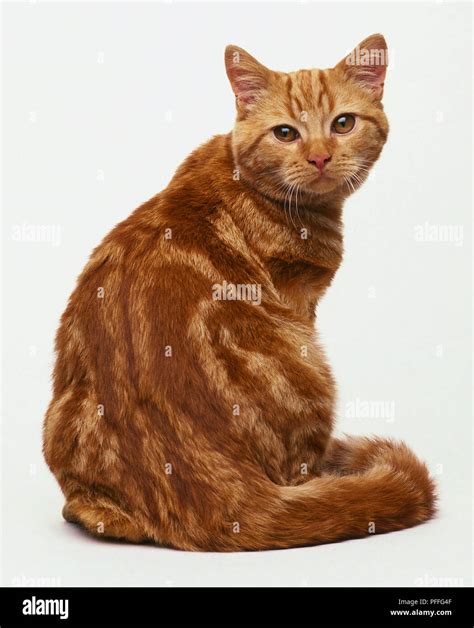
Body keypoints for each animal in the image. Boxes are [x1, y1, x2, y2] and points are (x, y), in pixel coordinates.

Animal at [42, 36, 436, 552]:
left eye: (343, 124)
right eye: (285, 132)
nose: (320, 157)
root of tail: (218, 494)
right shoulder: (298, 298)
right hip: (308, 362)